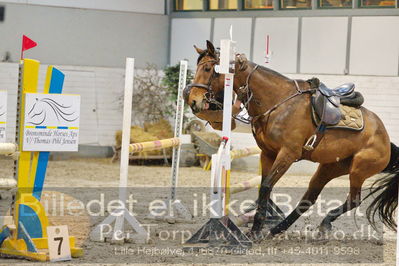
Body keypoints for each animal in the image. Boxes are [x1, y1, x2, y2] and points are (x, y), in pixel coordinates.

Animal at [184, 40, 399, 240]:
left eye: (207, 69)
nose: (193, 101)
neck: (278, 102)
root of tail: (386, 138)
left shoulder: (287, 154)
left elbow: (266, 187)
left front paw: (255, 231)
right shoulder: (268, 154)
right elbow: (264, 189)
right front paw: (257, 229)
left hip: (358, 170)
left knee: (354, 200)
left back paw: (322, 223)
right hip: (330, 167)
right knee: (308, 199)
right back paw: (278, 229)